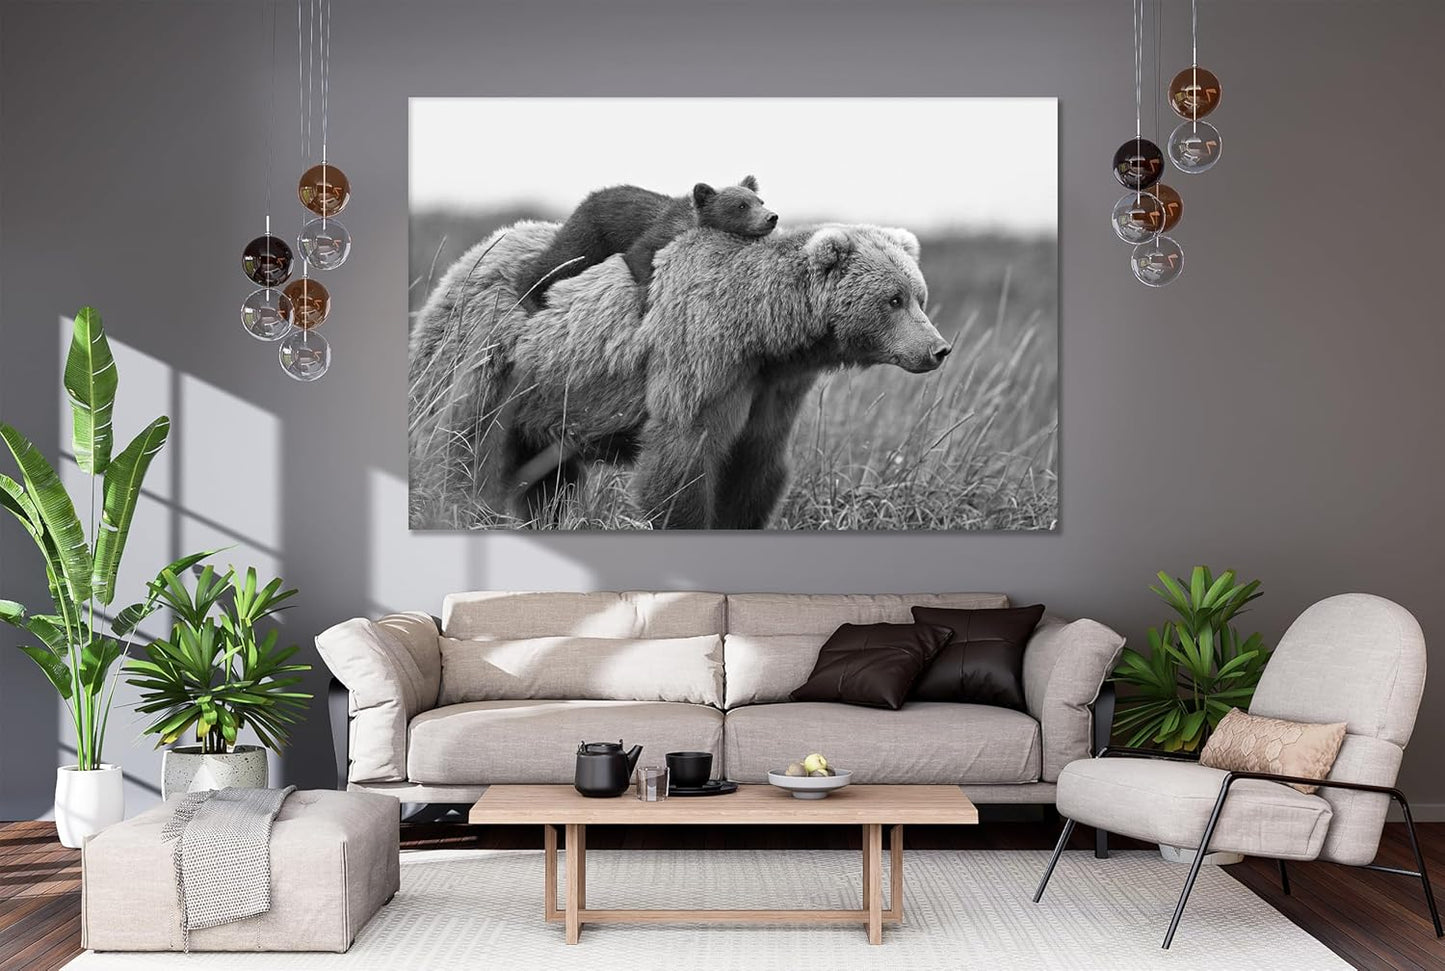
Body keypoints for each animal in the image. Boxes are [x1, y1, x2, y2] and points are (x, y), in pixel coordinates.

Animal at [408, 220, 950, 529]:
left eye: (919, 295)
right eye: (893, 299)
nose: (938, 348)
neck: (764, 330)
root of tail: (467, 258)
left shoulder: (772, 388)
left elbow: (756, 466)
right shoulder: (701, 356)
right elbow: (683, 457)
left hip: (546, 400)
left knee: (547, 477)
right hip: (488, 359)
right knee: (464, 444)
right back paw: (460, 508)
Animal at [514, 176, 778, 312]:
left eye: (760, 200)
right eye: (741, 205)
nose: (771, 217)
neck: (691, 222)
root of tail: (588, 198)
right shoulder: (660, 232)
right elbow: (639, 254)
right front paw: (645, 301)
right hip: (591, 233)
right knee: (562, 259)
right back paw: (530, 295)